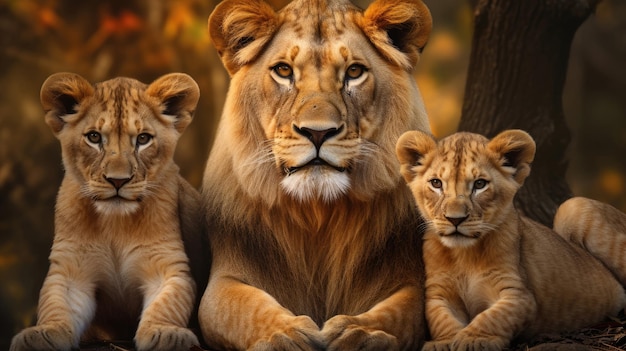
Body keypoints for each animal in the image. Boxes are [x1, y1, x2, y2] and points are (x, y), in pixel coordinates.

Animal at [199, 1, 428, 350]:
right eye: (283, 71)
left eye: (354, 72)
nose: (318, 132)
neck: (318, 214)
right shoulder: (224, 279)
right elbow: (244, 308)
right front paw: (285, 334)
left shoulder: (410, 278)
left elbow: (401, 312)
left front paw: (357, 334)